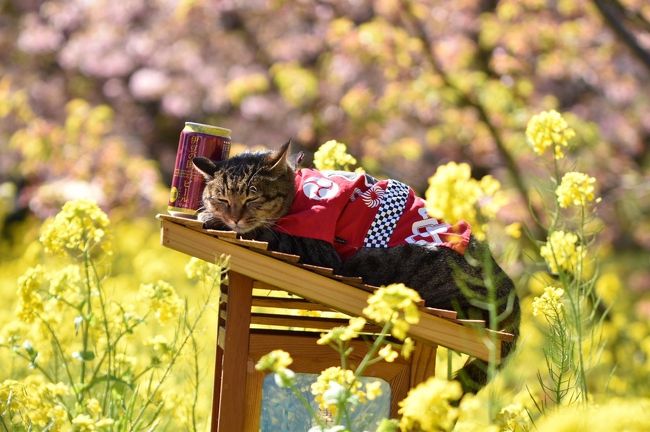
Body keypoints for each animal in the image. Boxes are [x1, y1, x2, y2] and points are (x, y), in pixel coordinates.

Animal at [191, 140, 516, 394]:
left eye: (253, 195)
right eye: (222, 198)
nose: (233, 217)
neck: (297, 193)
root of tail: (507, 286)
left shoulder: (317, 247)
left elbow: (267, 232)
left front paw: (211, 217)